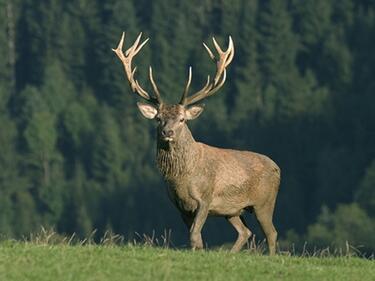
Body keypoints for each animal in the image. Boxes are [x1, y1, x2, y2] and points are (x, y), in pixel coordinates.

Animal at [113, 31, 280, 254]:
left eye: (182, 119)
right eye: (158, 118)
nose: (167, 132)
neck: (182, 178)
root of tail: (278, 168)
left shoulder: (205, 199)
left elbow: (194, 234)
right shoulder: (180, 206)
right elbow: (195, 238)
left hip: (264, 202)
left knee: (271, 233)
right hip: (233, 210)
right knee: (245, 232)